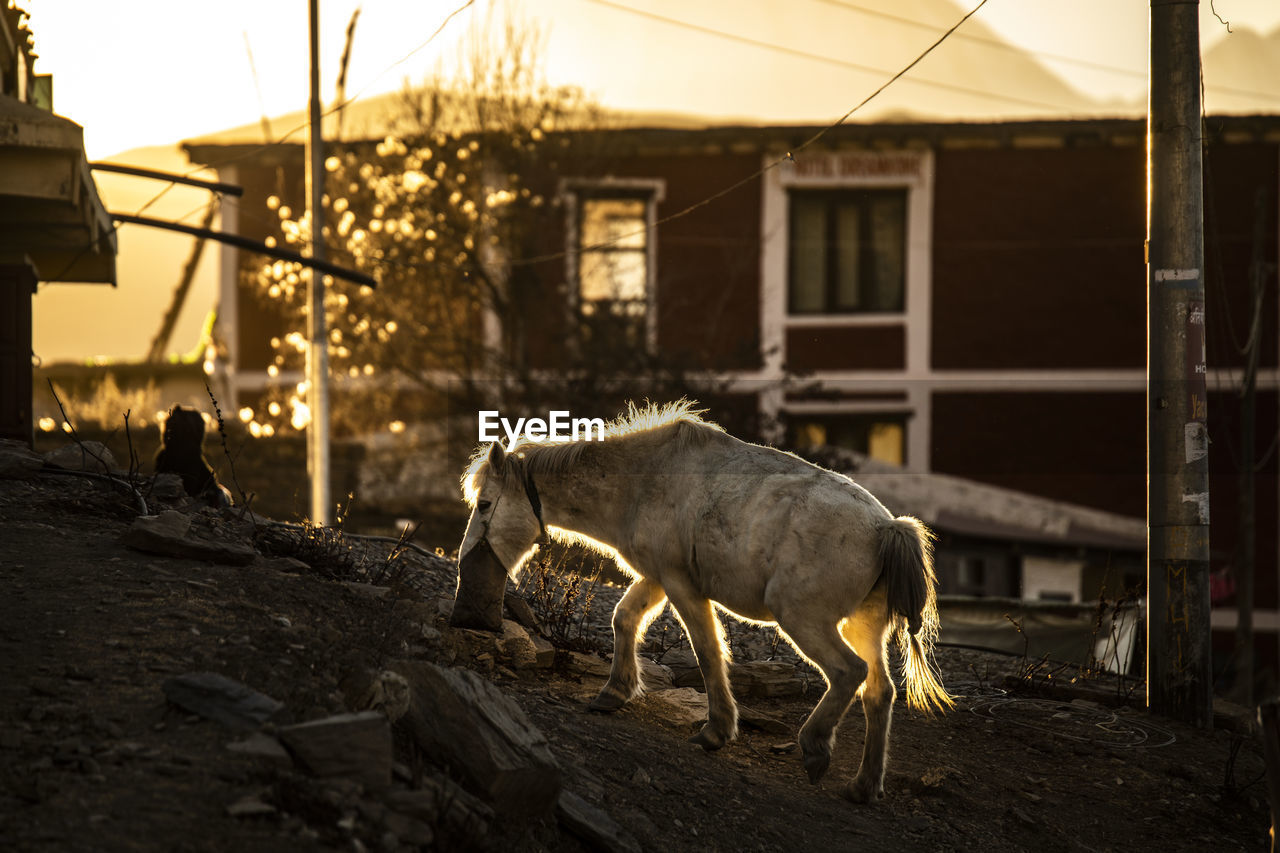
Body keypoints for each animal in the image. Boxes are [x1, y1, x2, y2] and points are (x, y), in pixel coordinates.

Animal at [450, 402, 952, 799]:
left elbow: (709, 652)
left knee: (849, 673)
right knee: (879, 692)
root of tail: (885, 528)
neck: (644, 481)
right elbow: (624, 618)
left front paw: (716, 730)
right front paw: (615, 691)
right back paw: (864, 786)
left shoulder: (680, 585)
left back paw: (814, 747)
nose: (468, 598)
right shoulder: (657, 577)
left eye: (485, 504)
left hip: (804, 621)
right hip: (862, 626)